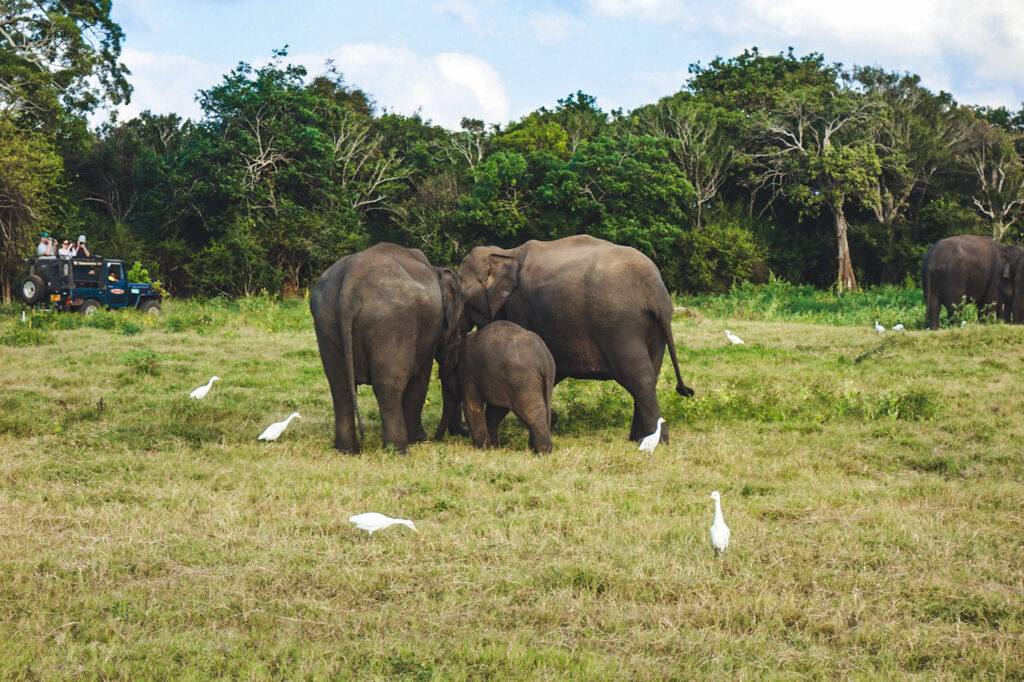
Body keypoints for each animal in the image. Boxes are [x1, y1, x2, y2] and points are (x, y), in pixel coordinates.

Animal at [310, 243, 460, 453]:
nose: (435, 439)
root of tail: (350, 283)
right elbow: (420, 378)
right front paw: (417, 439)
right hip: (392, 322)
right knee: (389, 386)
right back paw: (398, 450)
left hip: (326, 319)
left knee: (339, 385)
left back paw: (347, 450)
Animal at [438, 320, 556, 454]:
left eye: (443, 379)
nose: (435, 440)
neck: (459, 345)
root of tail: (544, 360)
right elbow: (497, 410)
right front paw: (493, 447)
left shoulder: (467, 372)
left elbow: (472, 406)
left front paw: (482, 449)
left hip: (523, 381)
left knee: (532, 414)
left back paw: (542, 452)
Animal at [455, 235, 693, 444]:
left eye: (461, 295)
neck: (506, 252)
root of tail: (656, 292)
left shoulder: (519, 307)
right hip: (652, 329)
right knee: (651, 373)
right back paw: (638, 438)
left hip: (620, 325)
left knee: (639, 377)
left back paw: (656, 441)